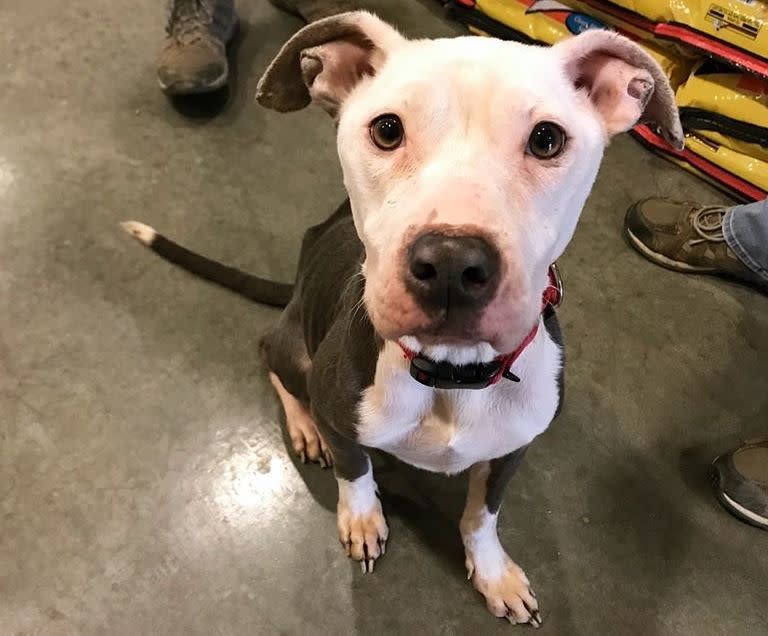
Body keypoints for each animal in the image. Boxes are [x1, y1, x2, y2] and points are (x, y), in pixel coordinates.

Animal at [123, 11, 680, 628]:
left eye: (547, 139)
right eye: (387, 130)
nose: (452, 264)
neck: (452, 374)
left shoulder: (512, 450)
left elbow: (482, 514)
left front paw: (493, 572)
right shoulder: (343, 412)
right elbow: (355, 471)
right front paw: (362, 516)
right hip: (295, 347)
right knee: (270, 353)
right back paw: (304, 425)